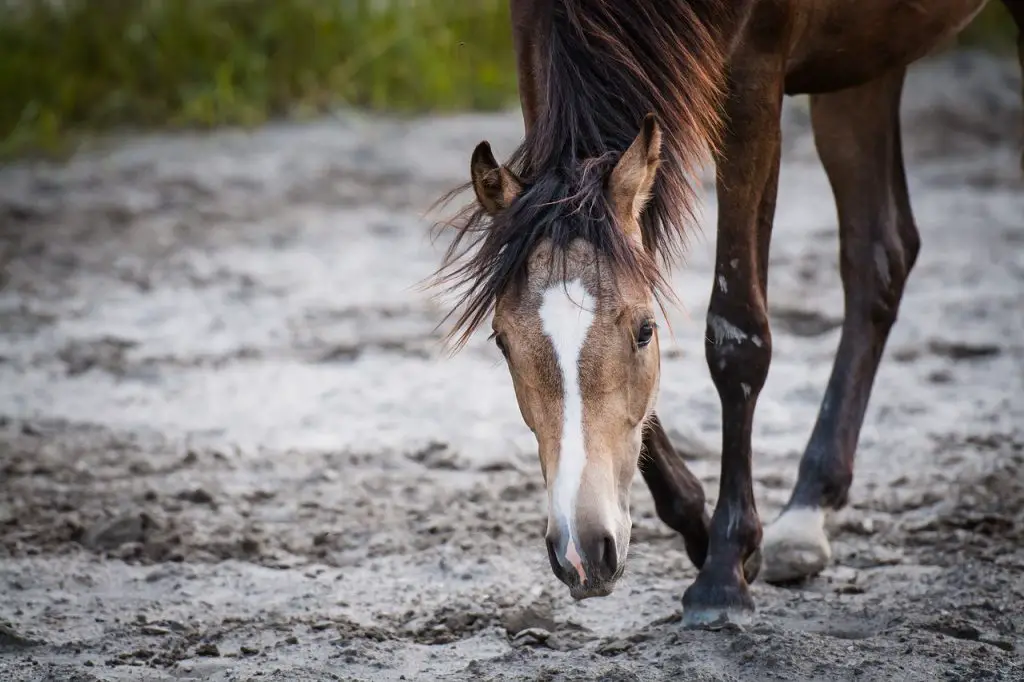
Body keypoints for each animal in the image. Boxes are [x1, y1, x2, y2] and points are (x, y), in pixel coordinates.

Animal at [428, 0, 1019, 626]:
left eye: (645, 331)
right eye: (502, 342)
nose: (582, 551)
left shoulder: (754, 82)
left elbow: (737, 337)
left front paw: (725, 567)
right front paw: (698, 528)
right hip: (864, 65)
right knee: (879, 259)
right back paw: (808, 508)